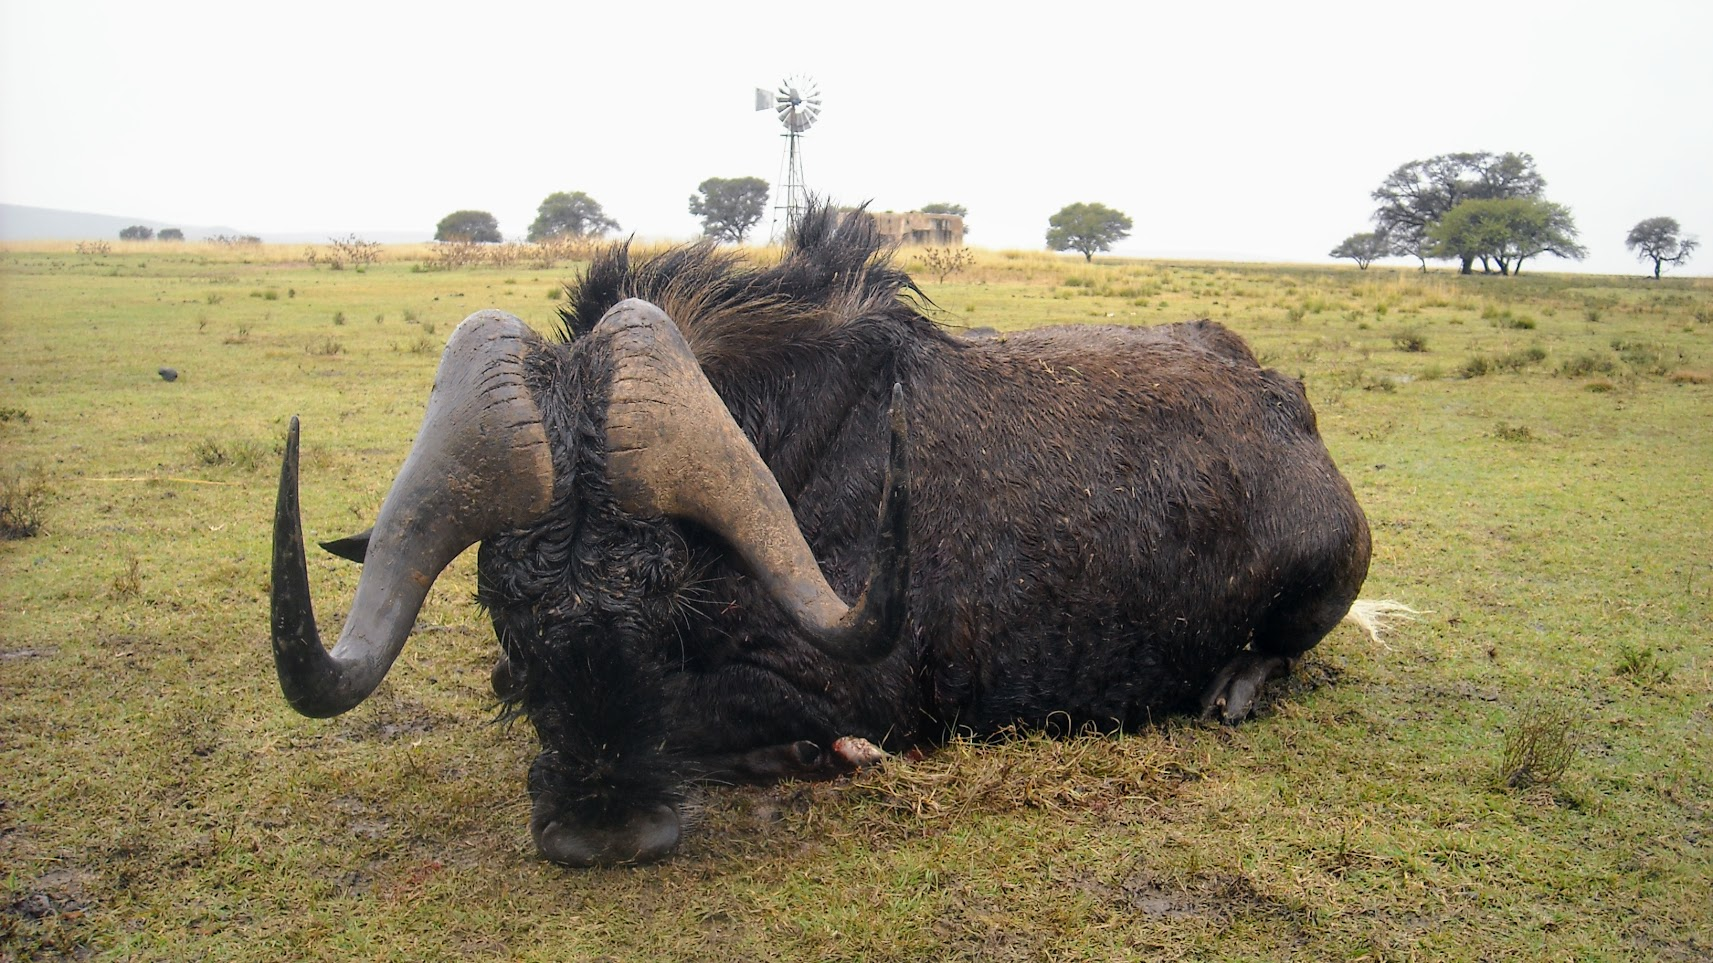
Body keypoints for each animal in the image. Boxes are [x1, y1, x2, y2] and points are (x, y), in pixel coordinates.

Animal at [271, 204, 1389, 867]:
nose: (609, 829)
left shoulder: (858, 690)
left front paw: (808, 755)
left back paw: (1235, 685)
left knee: (1281, 651)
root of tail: (1291, 407)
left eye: (662, 583)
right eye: (501, 598)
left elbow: (715, 715)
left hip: (1315, 592)